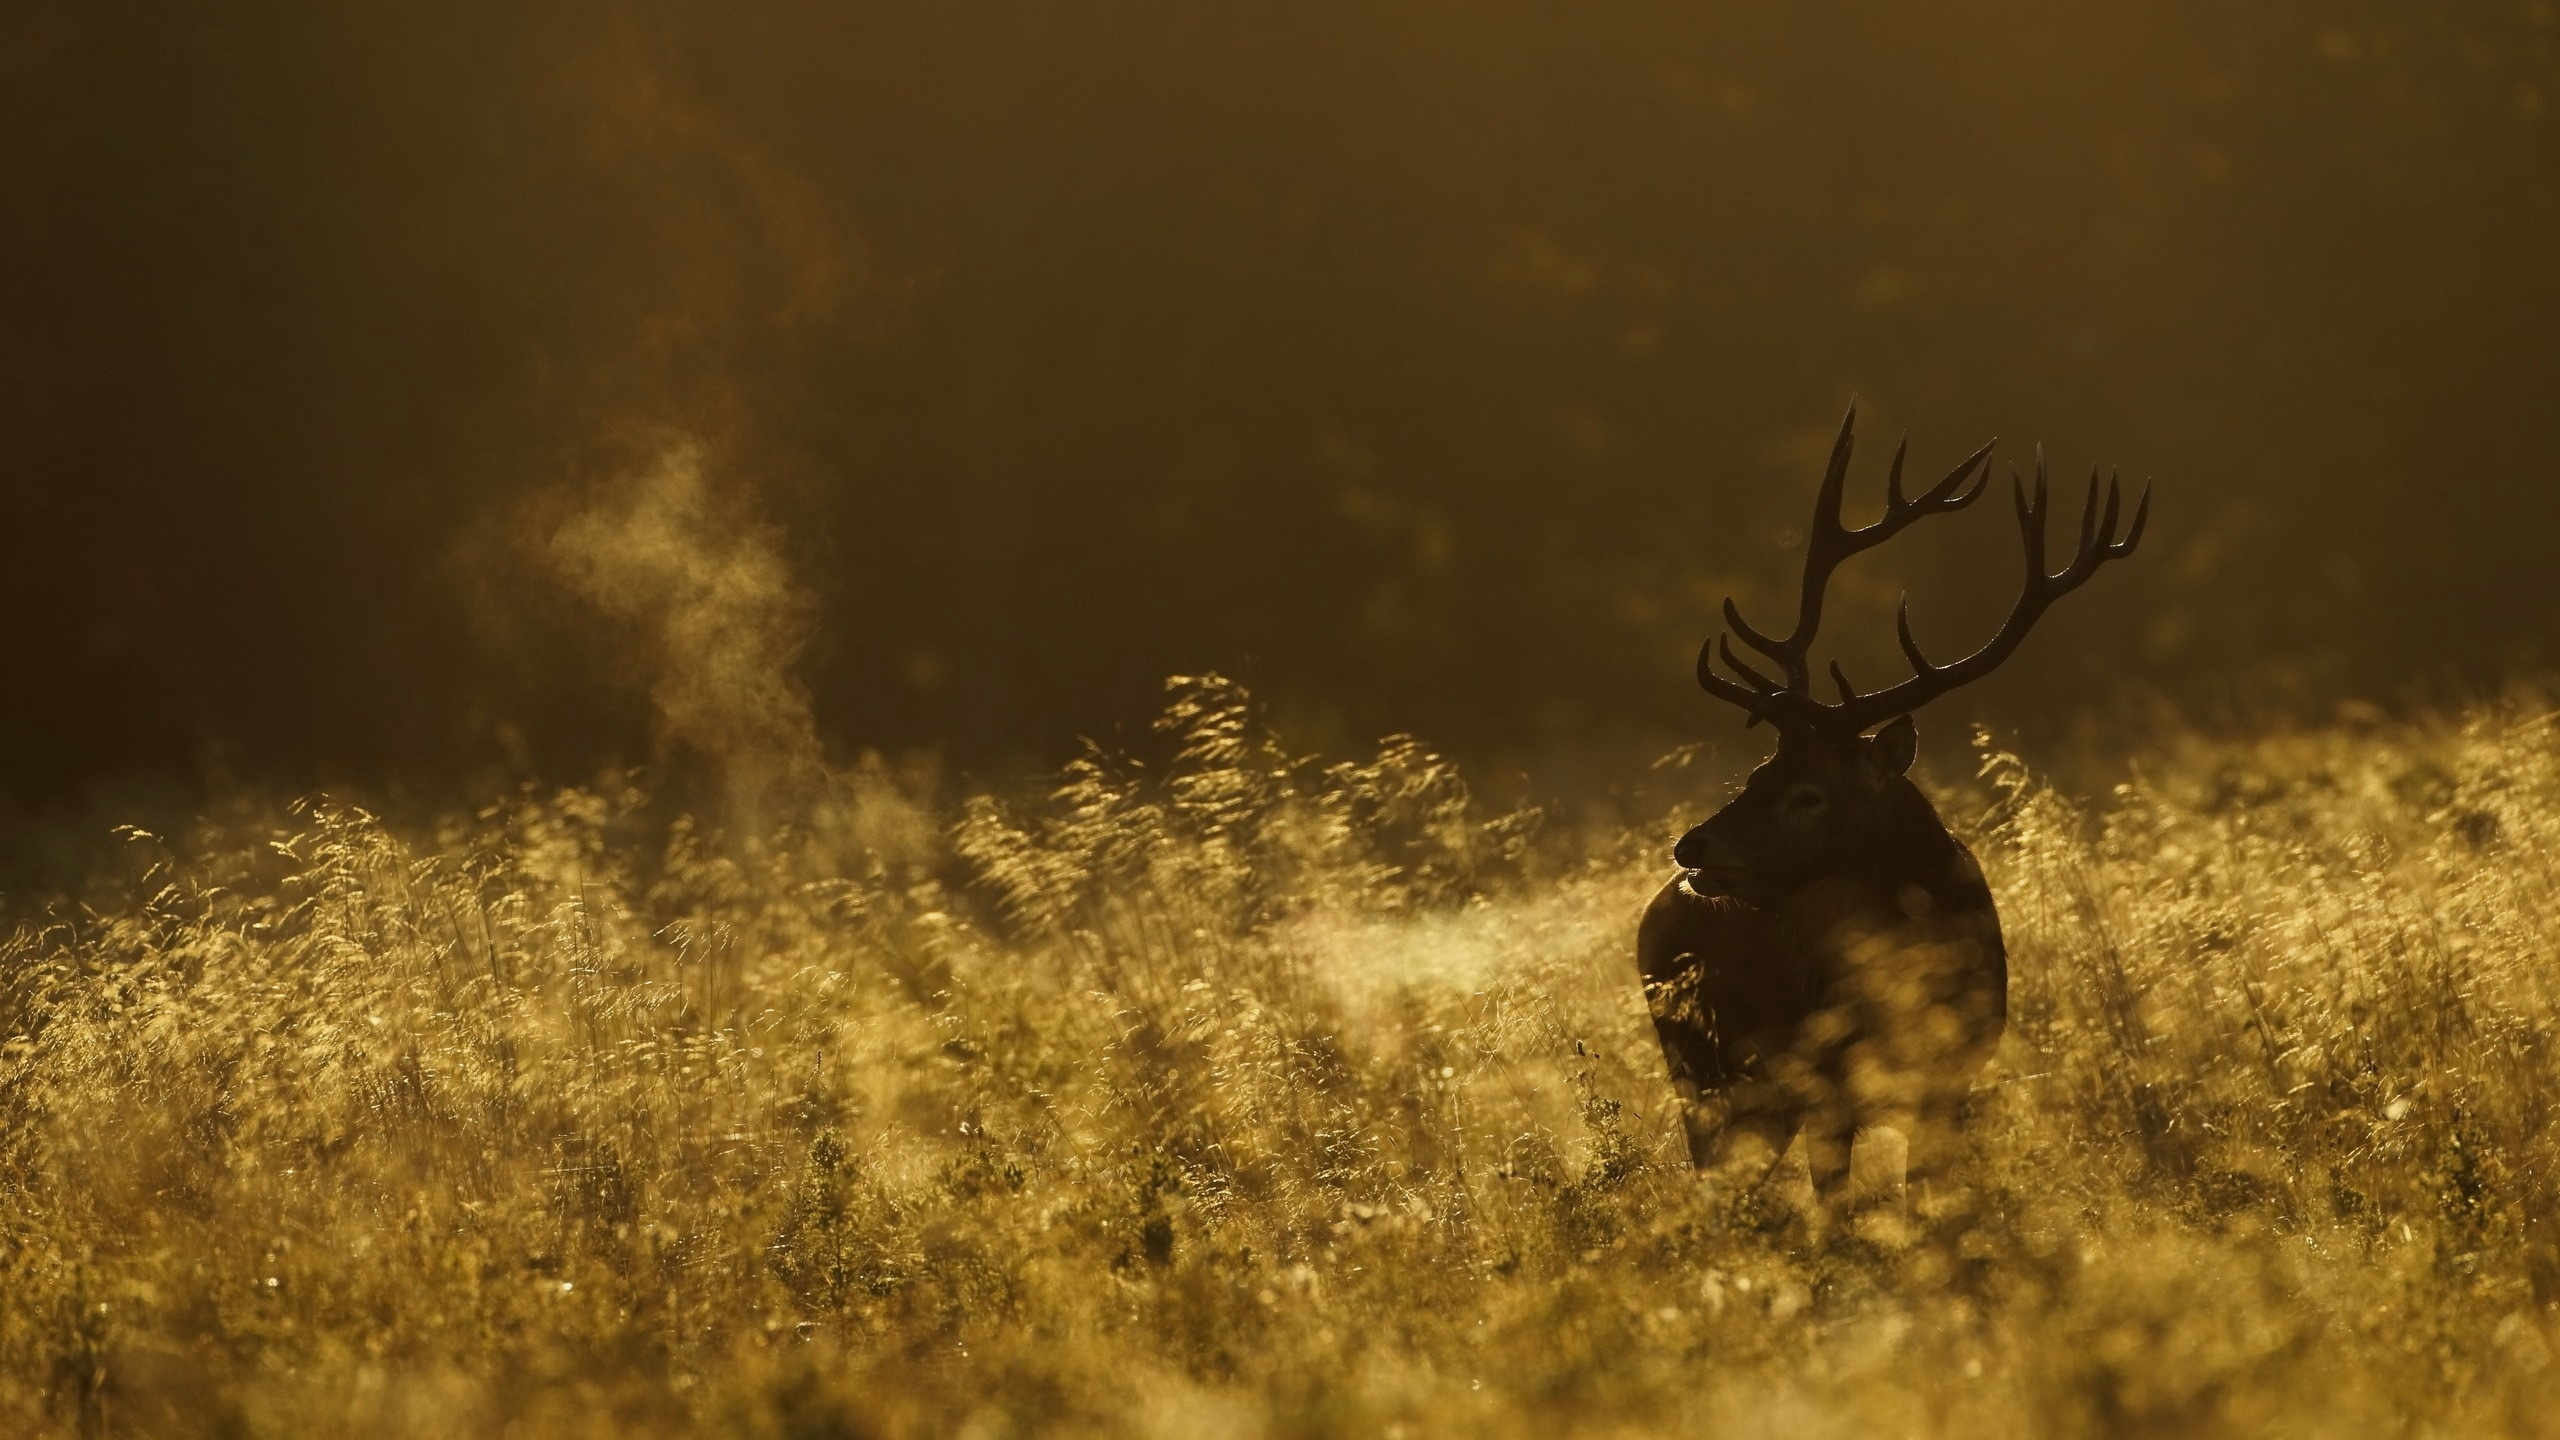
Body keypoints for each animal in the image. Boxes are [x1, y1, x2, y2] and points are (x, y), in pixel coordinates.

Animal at [1638, 404, 2140, 1209]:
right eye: (1758, 769)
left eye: (1808, 793)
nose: (1693, 846)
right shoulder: (1827, 1089)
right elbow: (1841, 1211)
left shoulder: (1953, 1081)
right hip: (1702, 1072)